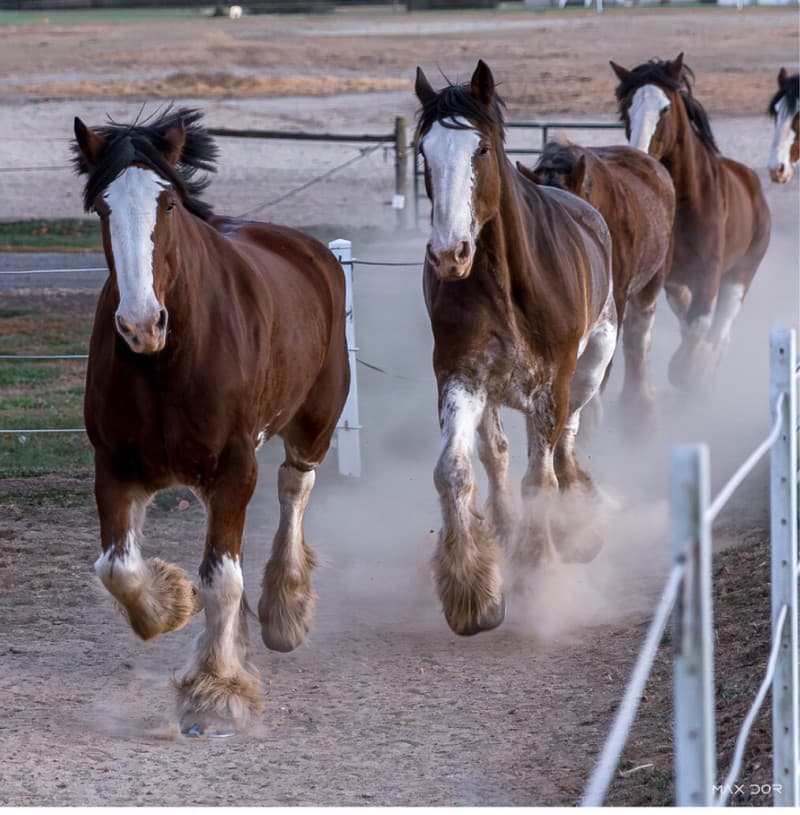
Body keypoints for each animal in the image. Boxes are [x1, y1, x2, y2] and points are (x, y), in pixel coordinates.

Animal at [72, 108, 349, 736]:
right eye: (102, 207)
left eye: (168, 203)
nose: (141, 324)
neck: (165, 361)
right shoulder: (114, 466)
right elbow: (118, 567)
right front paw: (171, 601)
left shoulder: (234, 466)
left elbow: (222, 578)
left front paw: (216, 691)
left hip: (314, 424)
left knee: (295, 489)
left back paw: (285, 608)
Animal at [414, 61, 617, 636]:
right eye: (423, 152)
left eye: (480, 148)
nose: (448, 253)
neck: (506, 285)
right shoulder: (460, 376)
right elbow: (455, 470)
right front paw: (473, 590)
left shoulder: (554, 384)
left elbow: (540, 481)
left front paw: (540, 568)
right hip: (495, 390)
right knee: (496, 454)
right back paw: (504, 532)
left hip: (589, 369)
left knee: (565, 442)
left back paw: (576, 524)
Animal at [609, 53, 771, 390]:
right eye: (626, 107)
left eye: (665, 107)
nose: (640, 155)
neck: (684, 203)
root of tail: (753, 184)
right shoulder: (665, 277)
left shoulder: (709, 271)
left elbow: (700, 324)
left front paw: (689, 370)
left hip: (741, 273)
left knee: (722, 326)